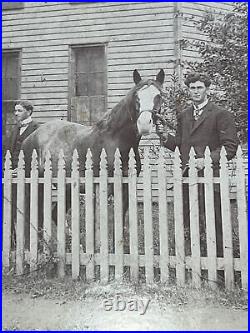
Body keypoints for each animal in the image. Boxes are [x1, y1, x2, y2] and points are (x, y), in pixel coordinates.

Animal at [22, 69, 166, 246]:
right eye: (136, 97)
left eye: (158, 95)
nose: (144, 124)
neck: (115, 140)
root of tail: (31, 137)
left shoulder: (125, 188)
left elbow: (120, 221)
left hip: (65, 187)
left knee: (53, 214)